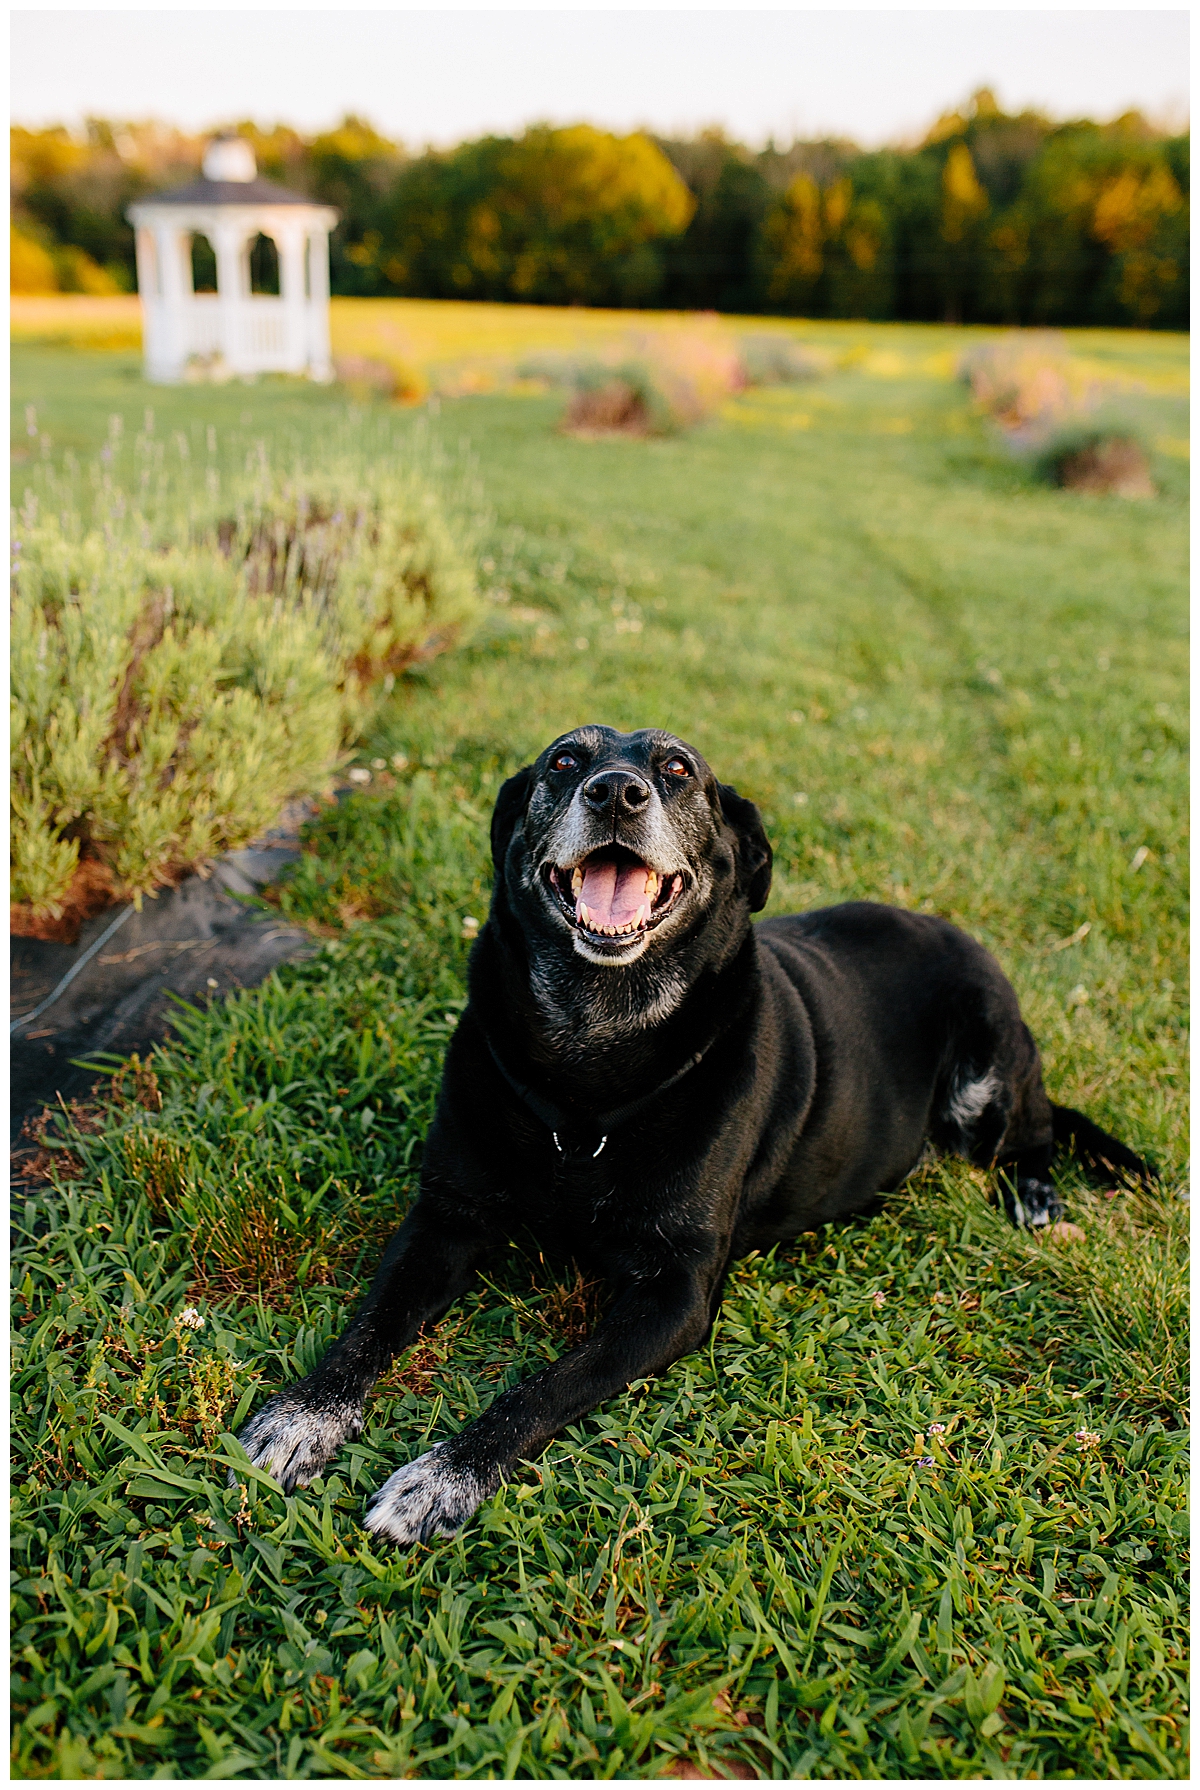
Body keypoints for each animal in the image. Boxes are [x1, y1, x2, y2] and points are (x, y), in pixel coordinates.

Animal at [238, 723, 1153, 1539]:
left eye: (678, 769)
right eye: (565, 760)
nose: (615, 791)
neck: (591, 1068)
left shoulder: (672, 1293)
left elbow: (541, 1387)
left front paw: (440, 1478)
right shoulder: (443, 1221)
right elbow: (369, 1325)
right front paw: (302, 1417)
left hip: (987, 1071)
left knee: (1036, 1129)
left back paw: (1038, 1198)